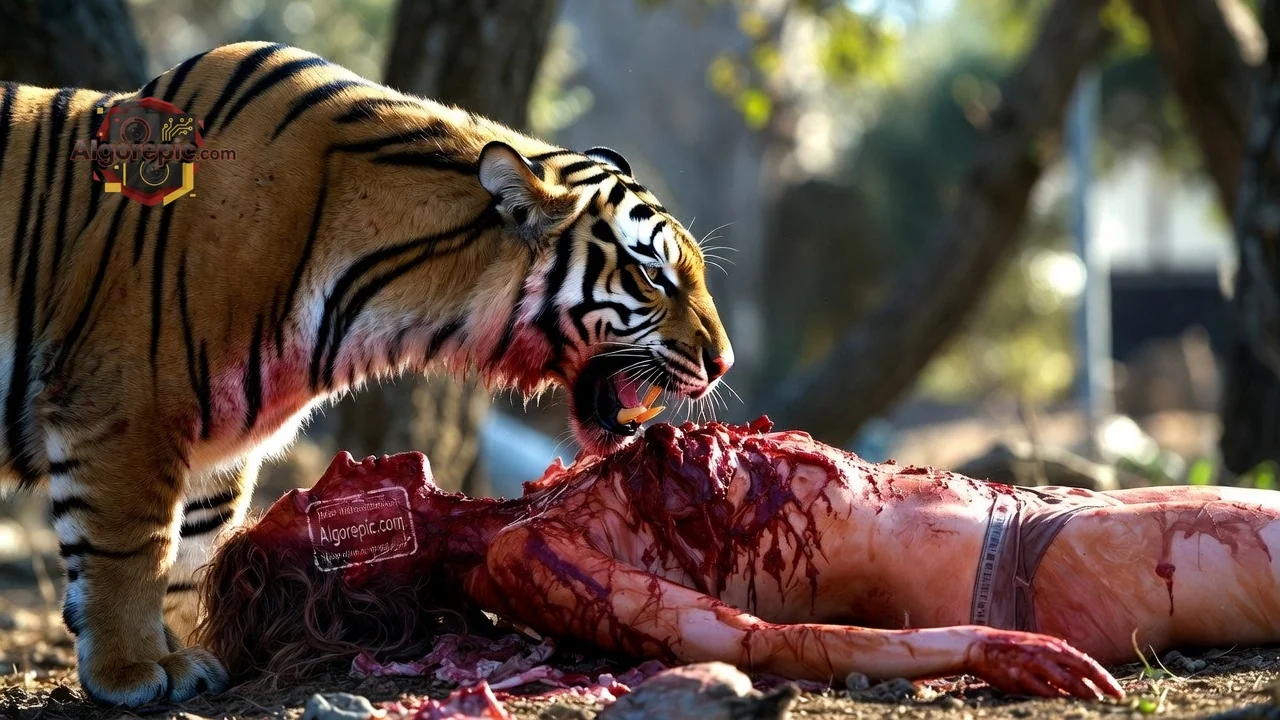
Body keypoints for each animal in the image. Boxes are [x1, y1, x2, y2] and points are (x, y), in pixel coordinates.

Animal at [0, 41, 734, 706]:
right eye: (654, 276)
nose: (723, 362)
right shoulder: (126, 404)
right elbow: (129, 549)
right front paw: (136, 669)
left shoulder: (224, 437)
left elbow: (190, 553)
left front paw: (196, 648)